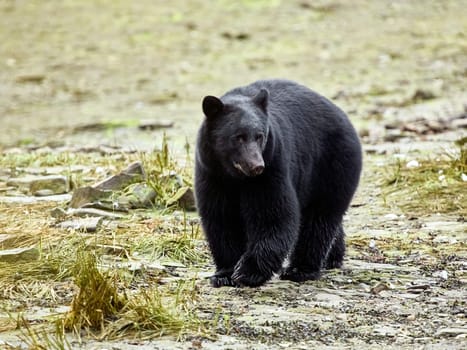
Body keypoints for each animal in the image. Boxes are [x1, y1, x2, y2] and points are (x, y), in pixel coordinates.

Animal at [194, 78, 362, 288]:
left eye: (260, 136)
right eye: (238, 137)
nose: (257, 166)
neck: (235, 177)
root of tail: (343, 116)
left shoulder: (273, 166)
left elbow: (273, 214)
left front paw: (248, 272)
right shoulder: (212, 174)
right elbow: (221, 218)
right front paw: (224, 274)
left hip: (332, 164)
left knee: (320, 217)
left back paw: (300, 269)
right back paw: (333, 258)